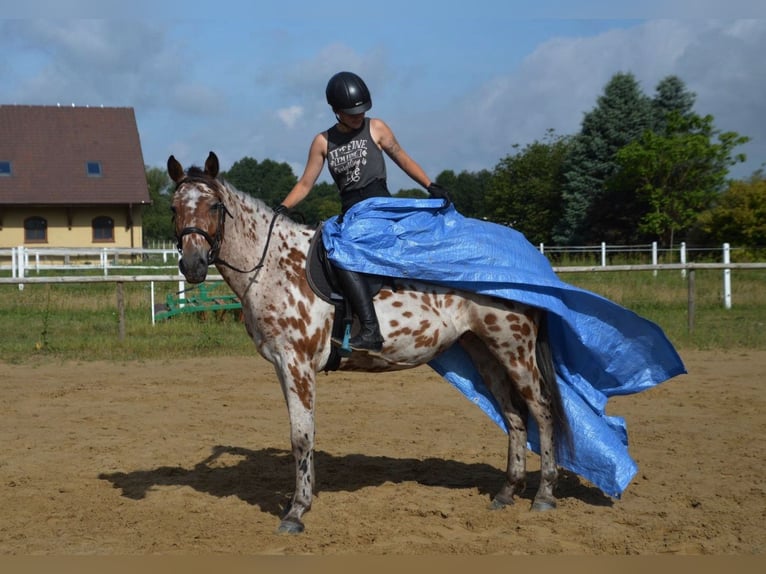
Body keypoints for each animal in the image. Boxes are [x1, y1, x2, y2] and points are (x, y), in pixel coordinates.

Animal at [170, 152, 576, 536]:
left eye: (214, 206)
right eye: (174, 207)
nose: (193, 265)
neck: (274, 266)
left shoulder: (297, 362)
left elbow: (301, 435)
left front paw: (297, 511)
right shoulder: (283, 366)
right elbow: (300, 434)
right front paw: (297, 501)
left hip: (514, 348)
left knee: (541, 410)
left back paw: (544, 495)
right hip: (484, 351)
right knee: (513, 415)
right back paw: (507, 492)